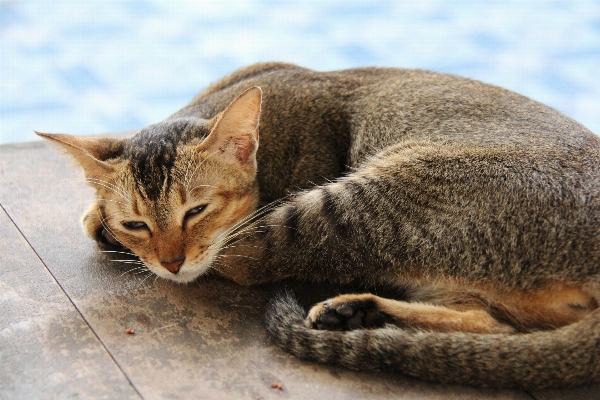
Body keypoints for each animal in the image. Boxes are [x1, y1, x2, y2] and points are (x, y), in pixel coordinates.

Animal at [38, 61, 600, 388]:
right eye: (137, 222)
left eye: (196, 211)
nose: (171, 262)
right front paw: (102, 218)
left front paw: (101, 225)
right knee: (492, 323)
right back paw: (356, 313)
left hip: (368, 199)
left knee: (250, 257)